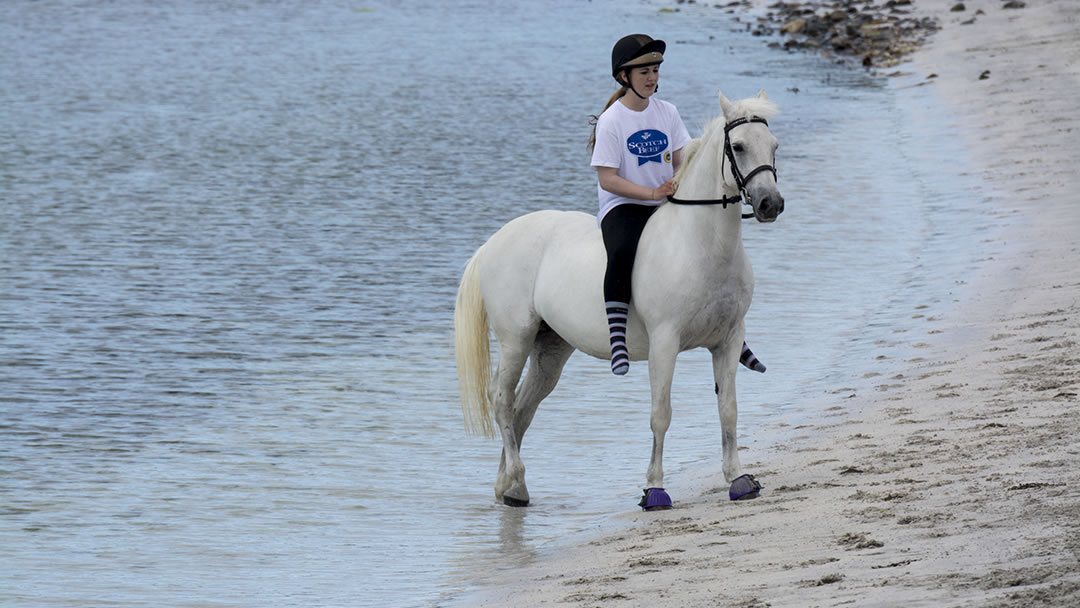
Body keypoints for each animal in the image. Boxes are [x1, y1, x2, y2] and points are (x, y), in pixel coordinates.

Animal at [455, 89, 786, 509]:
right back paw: (516, 482)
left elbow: (728, 410)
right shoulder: (665, 342)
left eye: (773, 145)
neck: (699, 244)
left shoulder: (727, 340)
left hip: (551, 348)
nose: (770, 204)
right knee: (501, 399)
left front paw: (738, 479)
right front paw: (654, 489)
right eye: (739, 146)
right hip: (516, 338)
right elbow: (661, 413)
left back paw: (508, 487)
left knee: (521, 407)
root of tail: (494, 241)